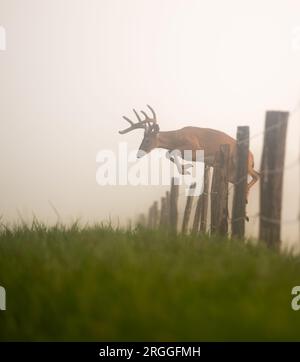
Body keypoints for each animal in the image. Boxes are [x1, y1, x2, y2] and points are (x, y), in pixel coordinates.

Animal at [118, 104, 258, 202]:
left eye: (147, 140)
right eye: (142, 139)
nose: (138, 154)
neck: (178, 138)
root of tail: (252, 156)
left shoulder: (196, 148)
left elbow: (170, 152)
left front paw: (186, 169)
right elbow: (169, 153)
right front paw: (185, 169)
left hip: (243, 163)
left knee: (257, 175)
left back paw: (246, 195)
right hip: (231, 173)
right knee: (243, 180)